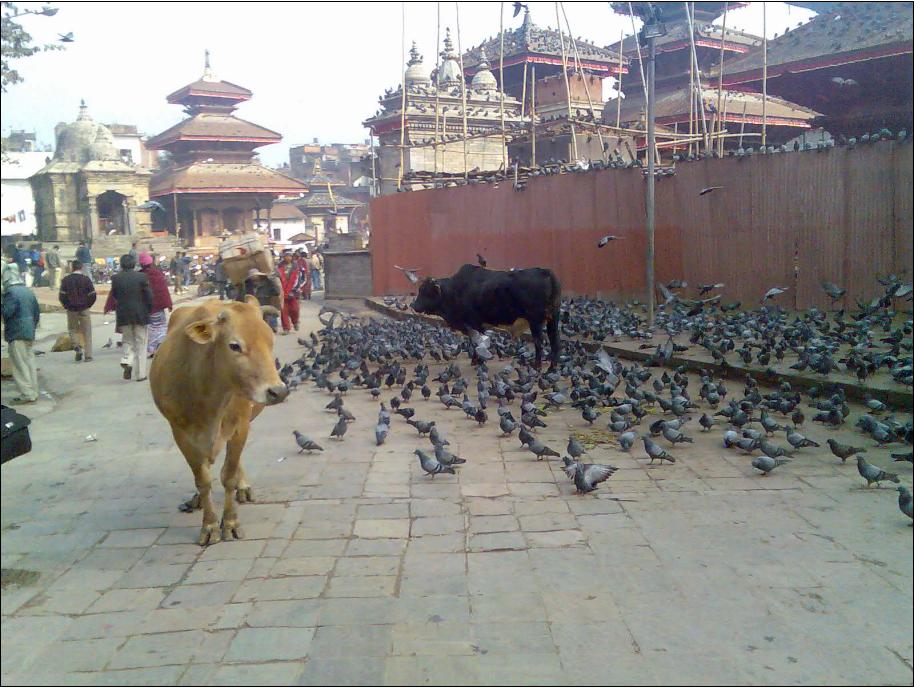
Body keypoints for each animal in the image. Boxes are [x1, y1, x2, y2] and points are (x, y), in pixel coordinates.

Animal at [150, 296, 288, 546]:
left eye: (270, 341)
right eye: (235, 346)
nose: (278, 392)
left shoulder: (240, 428)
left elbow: (229, 476)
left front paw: (230, 523)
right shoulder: (180, 434)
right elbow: (202, 479)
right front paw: (210, 525)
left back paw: (243, 488)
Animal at [410, 264, 561, 369]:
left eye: (426, 292)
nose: (414, 305)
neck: (455, 290)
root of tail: (545, 272)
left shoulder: (474, 323)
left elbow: (476, 343)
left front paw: (477, 361)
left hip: (535, 322)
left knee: (539, 343)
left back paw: (538, 366)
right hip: (553, 319)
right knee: (555, 342)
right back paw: (552, 368)